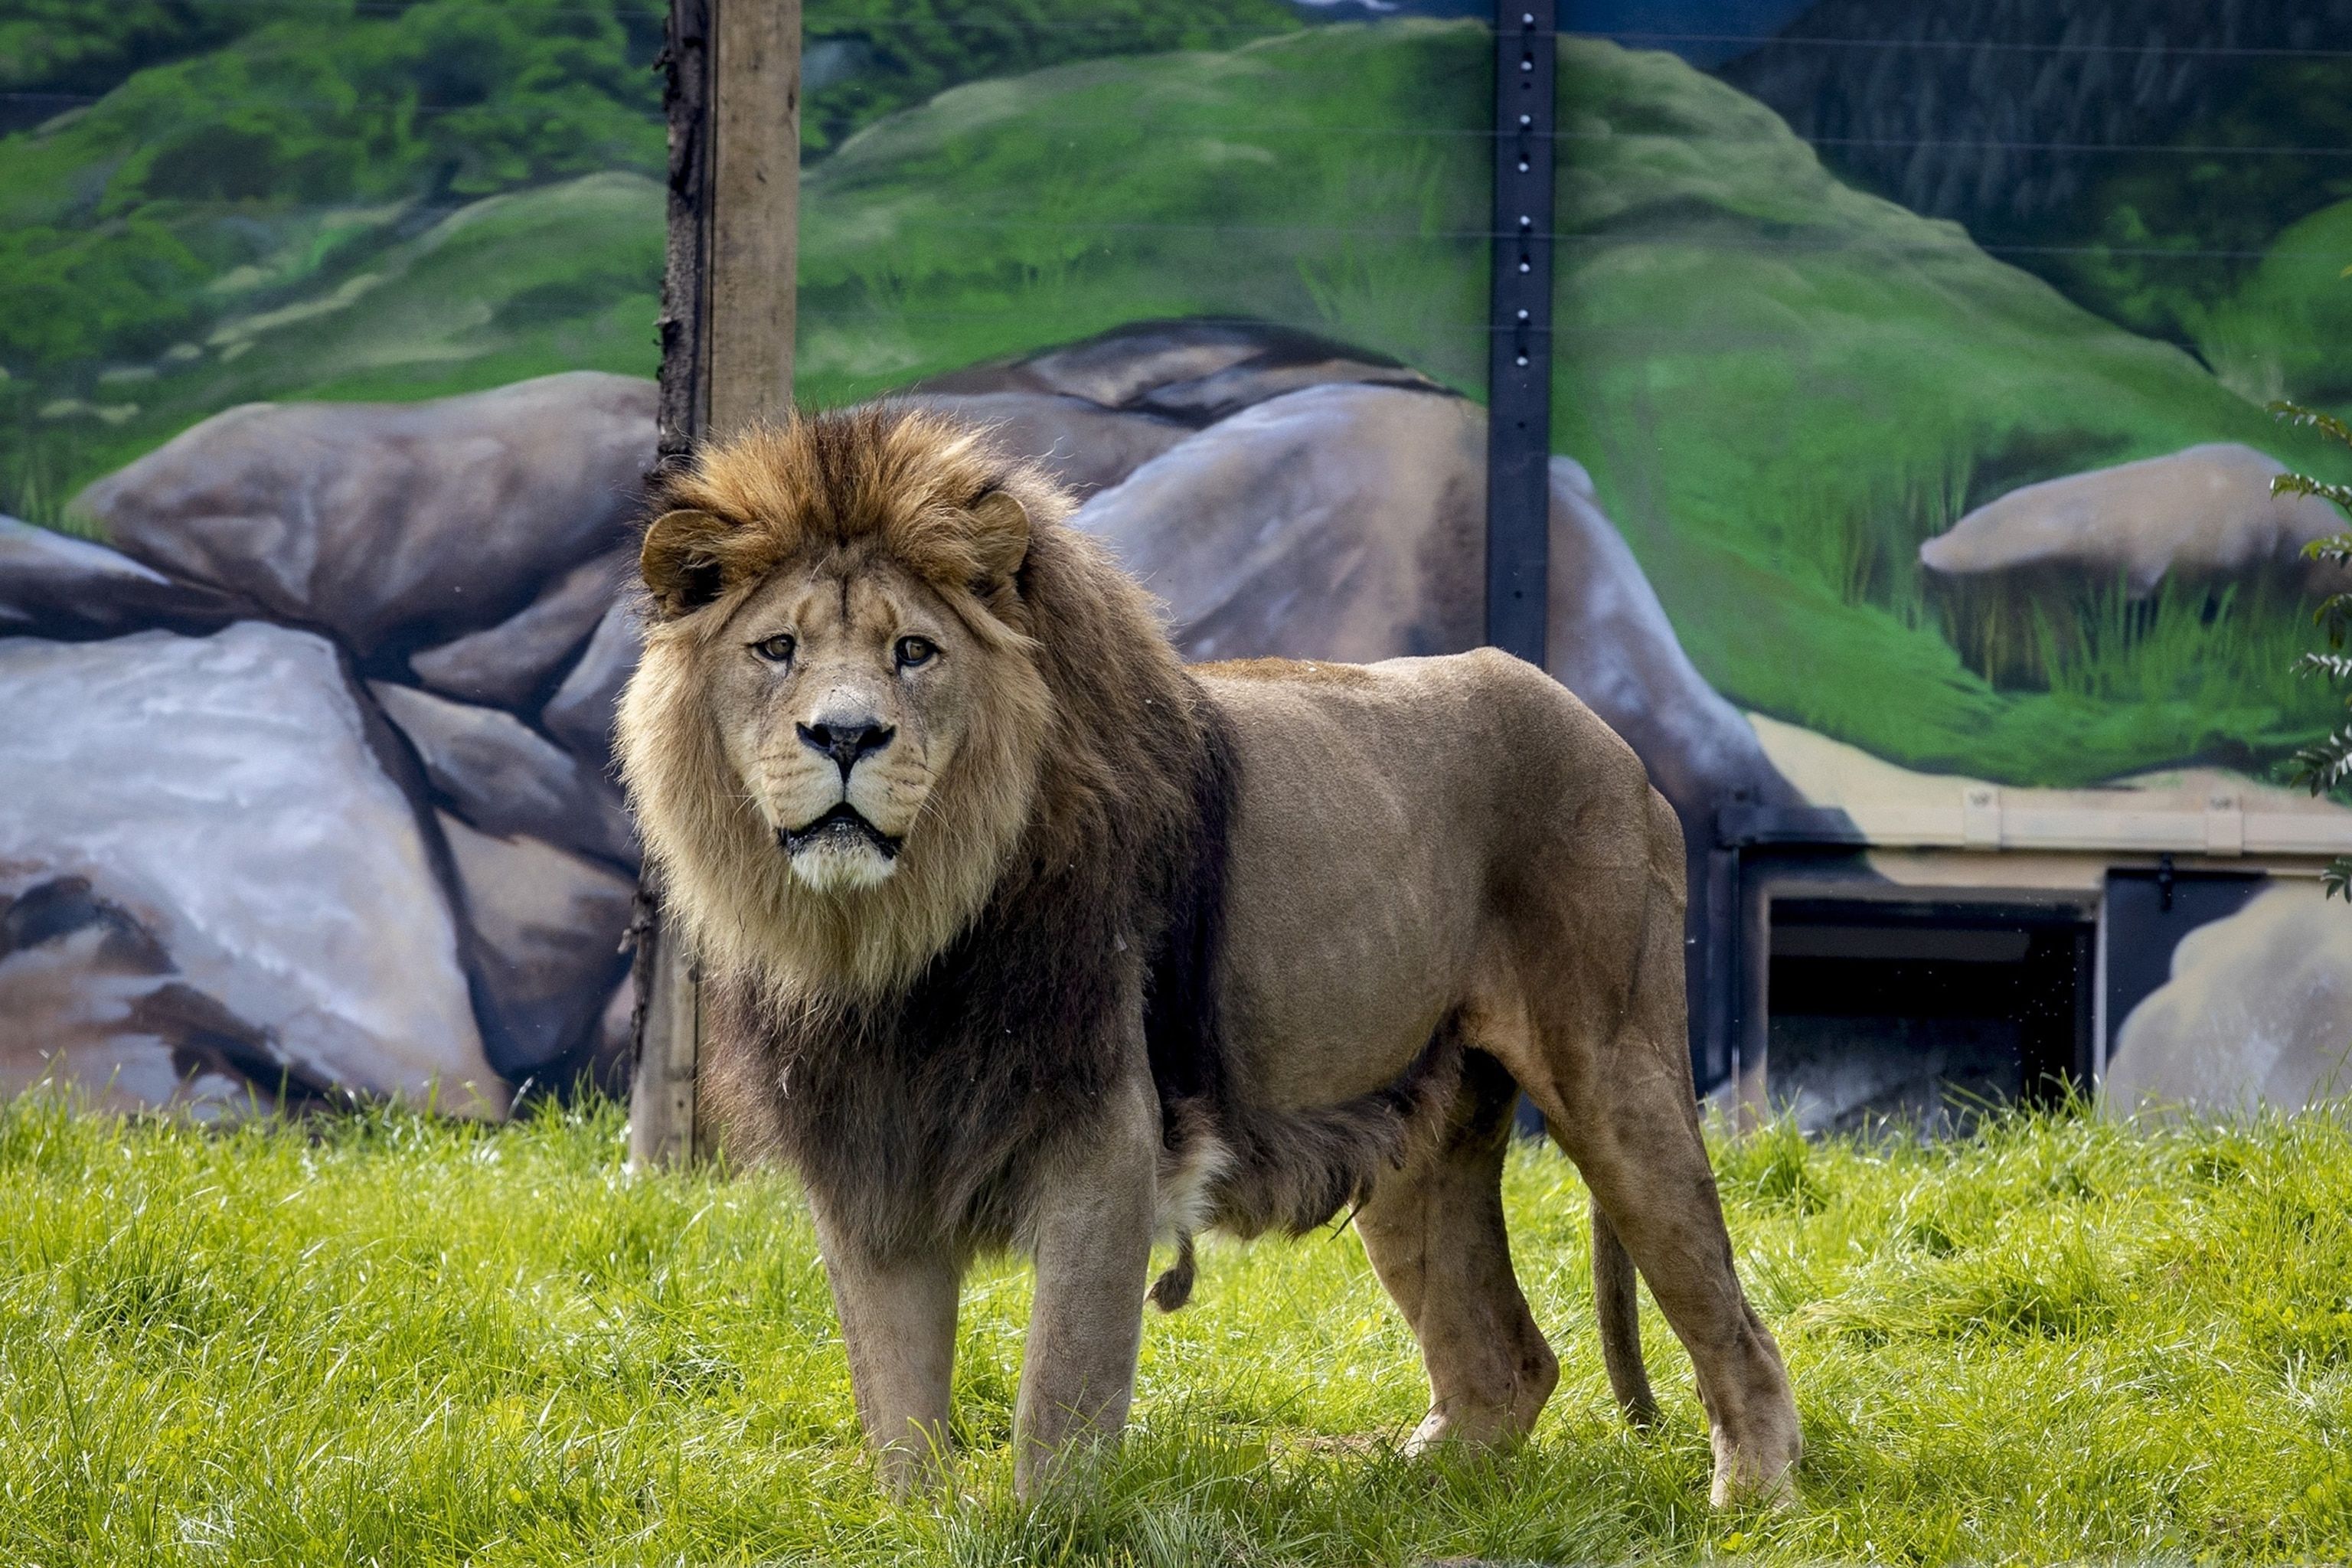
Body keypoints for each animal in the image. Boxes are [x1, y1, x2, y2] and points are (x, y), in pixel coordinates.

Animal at [614, 406, 1801, 1505]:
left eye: (915, 651)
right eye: (778, 650)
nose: (848, 736)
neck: (889, 939)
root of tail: (1619, 747)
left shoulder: (1104, 1133)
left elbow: (1061, 1394)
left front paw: (1047, 1529)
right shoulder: (870, 1153)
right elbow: (898, 1408)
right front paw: (920, 1527)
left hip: (1616, 1078)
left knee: (1734, 1326)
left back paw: (1749, 1496)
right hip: (1421, 1136)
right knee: (1507, 1359)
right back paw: (1412, 1491)